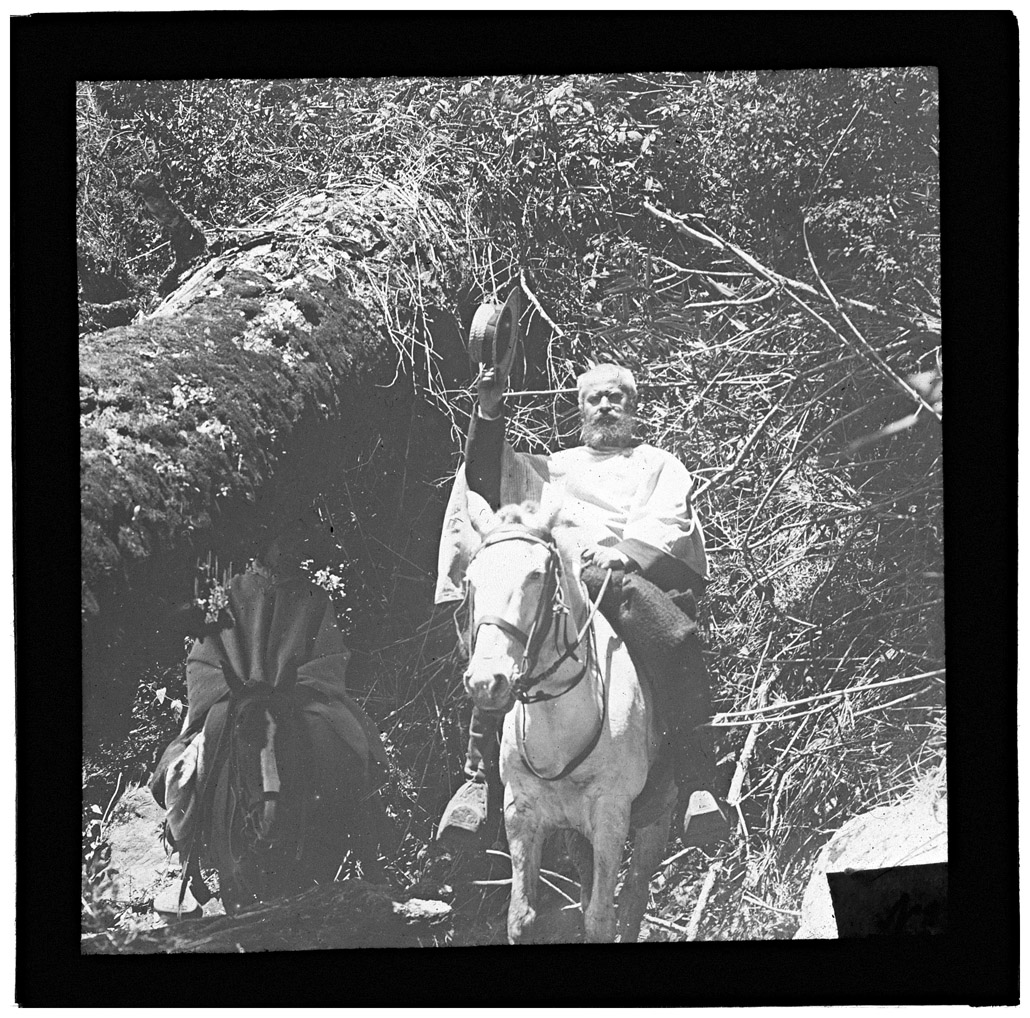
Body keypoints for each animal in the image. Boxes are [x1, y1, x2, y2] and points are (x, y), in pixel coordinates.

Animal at [461, 501, 674, 943]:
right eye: (472, 580)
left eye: (536, 574)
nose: (486, 682)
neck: (559, 731)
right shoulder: (521, 811)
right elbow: (521, 916)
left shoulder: (612, 815)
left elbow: (601, 920)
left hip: (654, 816)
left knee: (635, 892)